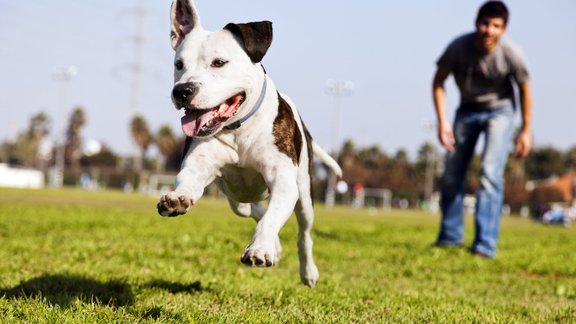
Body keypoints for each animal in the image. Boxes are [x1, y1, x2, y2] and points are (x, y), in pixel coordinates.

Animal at [155, 0, 340, 288]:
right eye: (179, 64)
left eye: (219, 62)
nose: (183, 91)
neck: (238, 129)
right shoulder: (198, 166)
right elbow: (188, 180)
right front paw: (177, 199)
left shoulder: (283, 182)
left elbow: (273, 217)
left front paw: (260, 249)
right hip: (236, 200)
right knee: (253, 209)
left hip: (304, 195)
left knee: (303, 233)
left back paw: (307, 271)